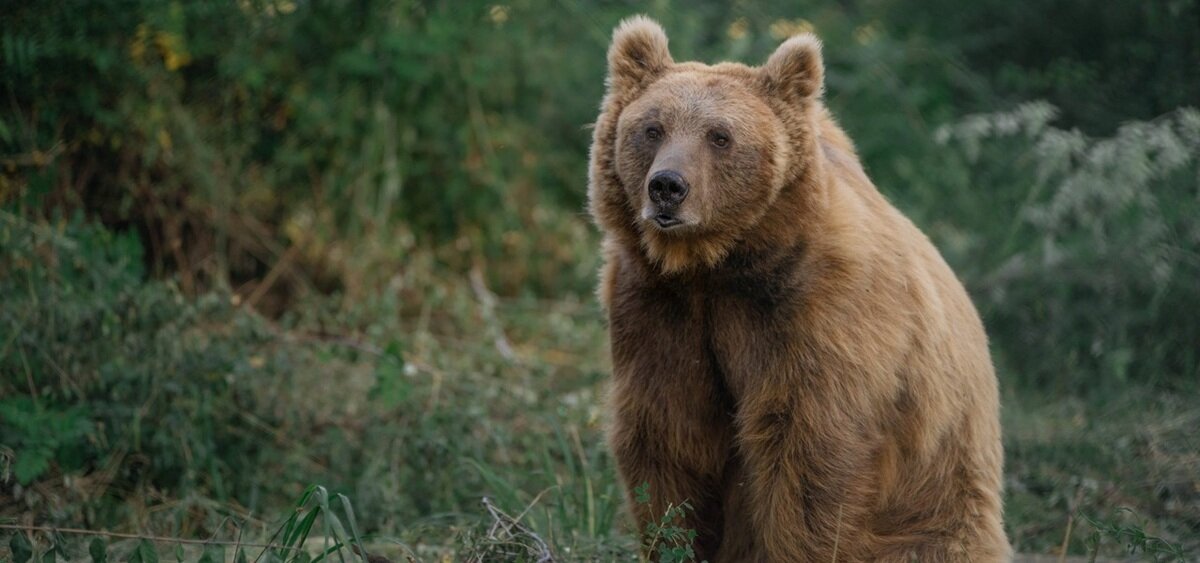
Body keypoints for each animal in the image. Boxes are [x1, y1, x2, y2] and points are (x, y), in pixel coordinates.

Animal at [590, 15, 1012, 559]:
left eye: (720, 136)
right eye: (652, 128)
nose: (667, 186)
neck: (716, 265)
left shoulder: (816, 313)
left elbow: (808, 453)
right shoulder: (657, 310)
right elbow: (669, 436)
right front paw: (675, 539)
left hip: (936, 505)